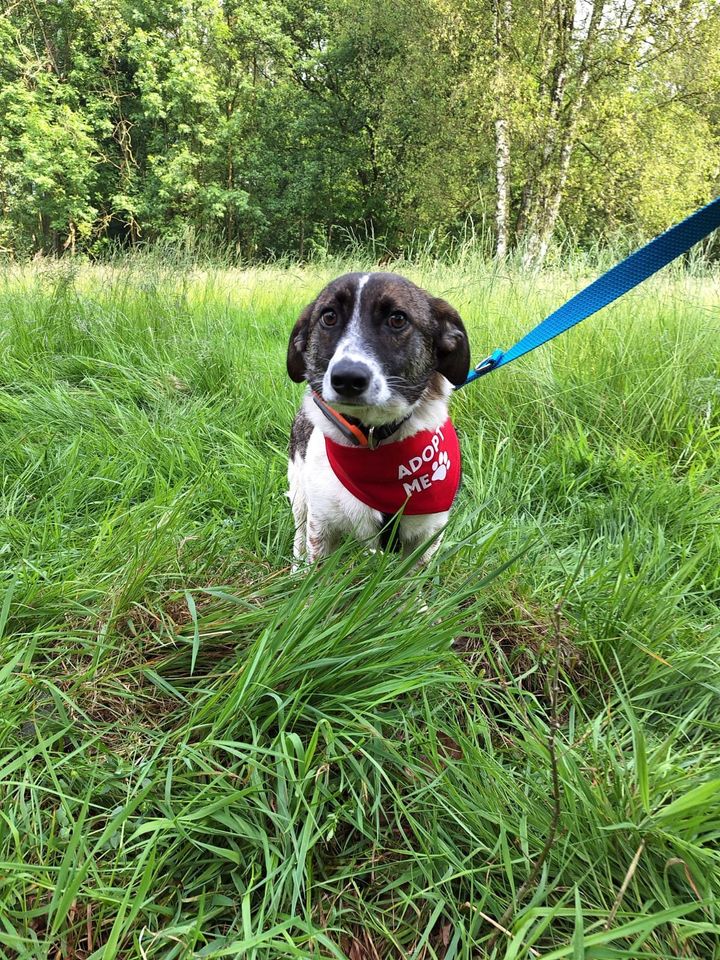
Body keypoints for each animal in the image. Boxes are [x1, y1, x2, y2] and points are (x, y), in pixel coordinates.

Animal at [286, 272, 472, 564]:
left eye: (397, 319)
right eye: (329, 316)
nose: (347, 378)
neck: (374, 437)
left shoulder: (427, 536)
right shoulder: (321, 527)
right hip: (299, 493)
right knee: (299, 538)